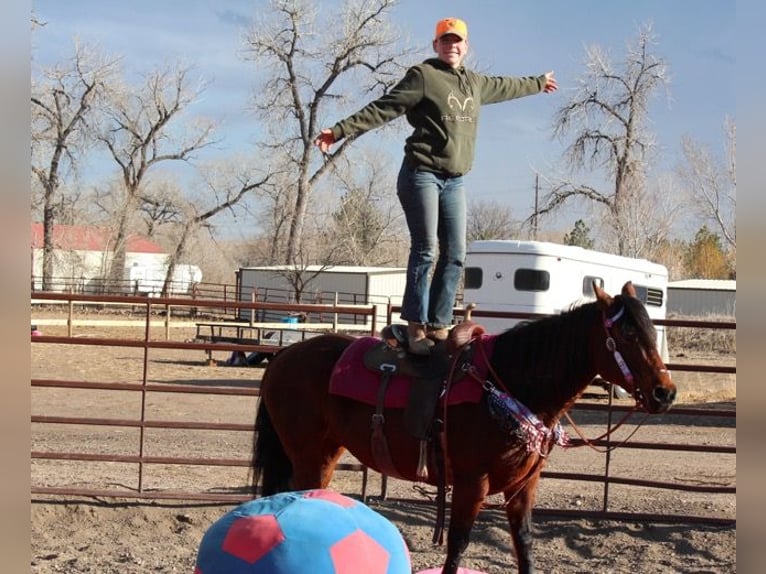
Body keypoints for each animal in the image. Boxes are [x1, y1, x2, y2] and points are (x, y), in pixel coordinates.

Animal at [252, 284, 680, 574]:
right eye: (626, 333)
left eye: (649, 328)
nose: (665, 392)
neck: (511, 381)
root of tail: (283, 356)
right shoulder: (472, 483)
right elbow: (457, 546)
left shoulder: (524, 485)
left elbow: (524, 545)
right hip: (306, 455)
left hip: (326, 453)